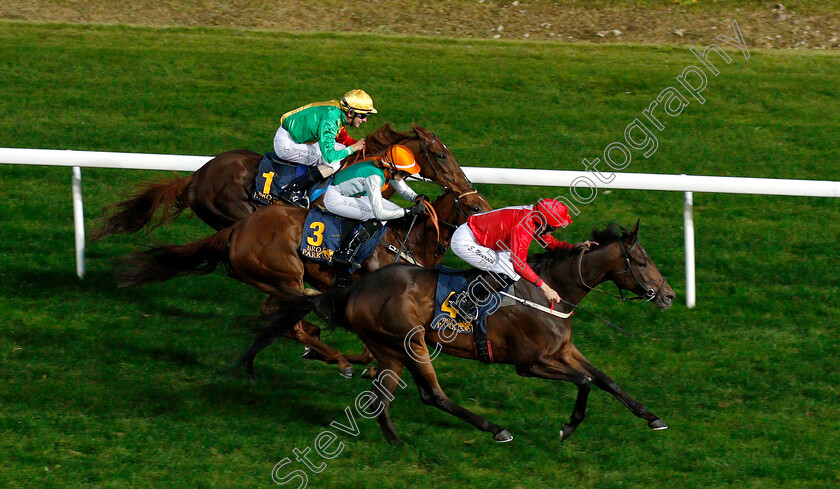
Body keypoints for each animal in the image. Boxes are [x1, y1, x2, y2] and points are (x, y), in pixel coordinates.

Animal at [115, 189, 488, 376]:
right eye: (473, 207)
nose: (485, 232)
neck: (405, 241)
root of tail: (238, 229)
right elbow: (371, 347)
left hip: (273, 281)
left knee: (280, 316)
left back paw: (321, 346)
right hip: (283, 274)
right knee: (289, 317)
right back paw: (331, 355)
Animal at [251, 223, 676, 444]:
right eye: (641, 262)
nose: (670, 296)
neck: (548, 291)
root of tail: (354, 289)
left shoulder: (563, 350)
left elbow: (606, 379)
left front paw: (653, 417)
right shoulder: (530, 362)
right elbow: (586, 382)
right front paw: (568, 426)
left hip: (389, 349)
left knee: (383, 396)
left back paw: (395, 441)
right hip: (412, 342)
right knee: (432, 394)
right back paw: (495, 429)